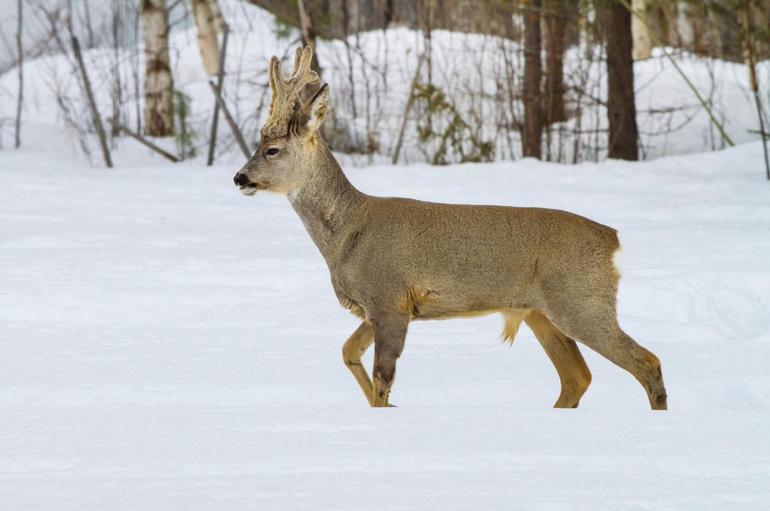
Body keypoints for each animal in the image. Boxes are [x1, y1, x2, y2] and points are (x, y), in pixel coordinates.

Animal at [234, 46, 664, 410]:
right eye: (257, 145)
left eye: (272, 150)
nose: (240, 178)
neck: (347, 233)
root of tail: (612, 240)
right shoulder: (379, 308)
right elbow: (348, 353)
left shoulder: (389, 298)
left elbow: (383, 378)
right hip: (540, 311)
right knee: (577, 376)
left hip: (581, 301)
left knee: (646, 361)